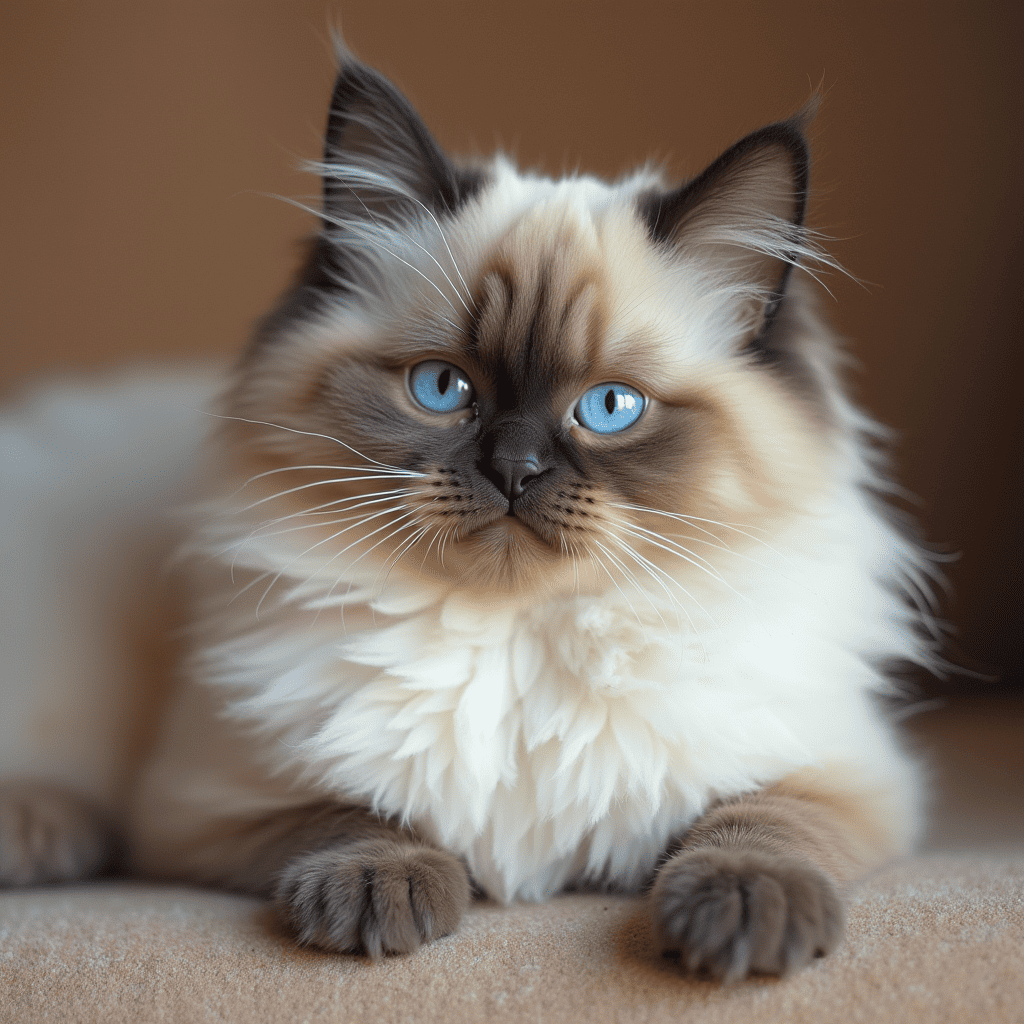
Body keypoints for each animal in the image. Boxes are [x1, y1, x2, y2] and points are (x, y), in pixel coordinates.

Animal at [2, 51, 942, 978]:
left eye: (610, 407)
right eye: (442, 388)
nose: (513, 470)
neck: (516, 632)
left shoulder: (842, 779)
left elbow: (757, 823)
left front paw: (744, 919)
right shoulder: (206, 811)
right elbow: (356, 814)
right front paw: (381, 896)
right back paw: (43, 839)